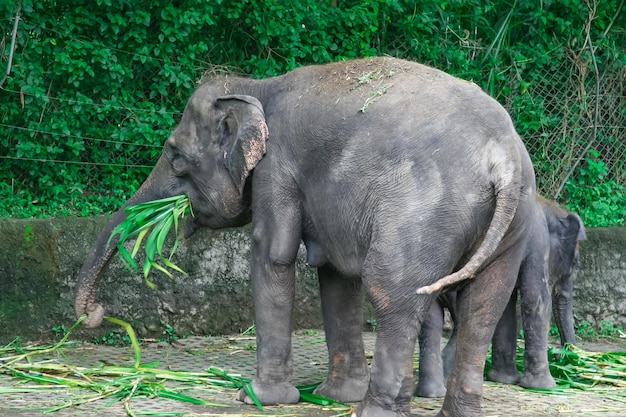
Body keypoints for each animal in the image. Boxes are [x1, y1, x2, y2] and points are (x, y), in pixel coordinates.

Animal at [75, 57, 536, 416]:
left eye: (174, 155)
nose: (96, 313)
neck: (256, 85)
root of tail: (503, 158)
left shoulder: (277, 165)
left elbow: (273, 253)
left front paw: (257, 397)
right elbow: (336, 276)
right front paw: (334, 395)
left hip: (423, 212)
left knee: (392, 290)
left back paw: (371, 411)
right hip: (512, 225)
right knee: (483, 305)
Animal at [414, 195, 584, 396]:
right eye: (575, 262)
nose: (562, 356)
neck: (547, 206)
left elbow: (507, 306)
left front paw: (504, 379)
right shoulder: (538, 240)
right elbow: (536, 299)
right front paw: (544, 386)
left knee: (432, 321)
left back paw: (433, 391)